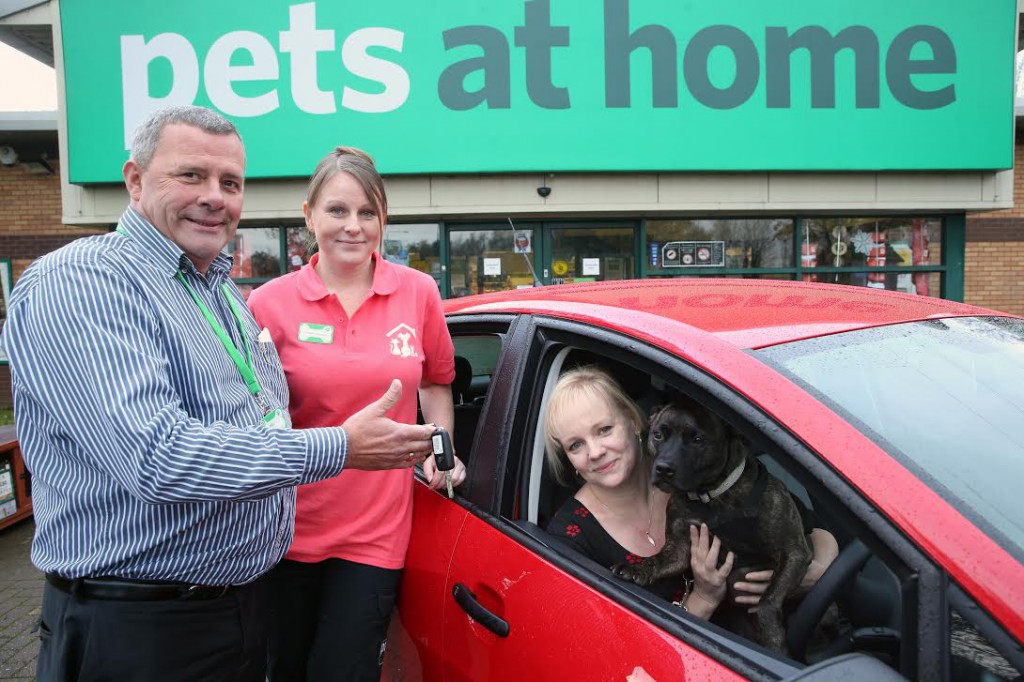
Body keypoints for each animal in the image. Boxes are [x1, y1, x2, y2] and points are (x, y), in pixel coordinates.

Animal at [610, 399, 811, 655]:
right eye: (658, 435)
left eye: (698, 439)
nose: (663, 468)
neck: (710, 496)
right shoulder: (679, 549)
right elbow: (657, 559)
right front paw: (637, 568)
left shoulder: (794, 551)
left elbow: (767, 601)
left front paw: (773, 639)